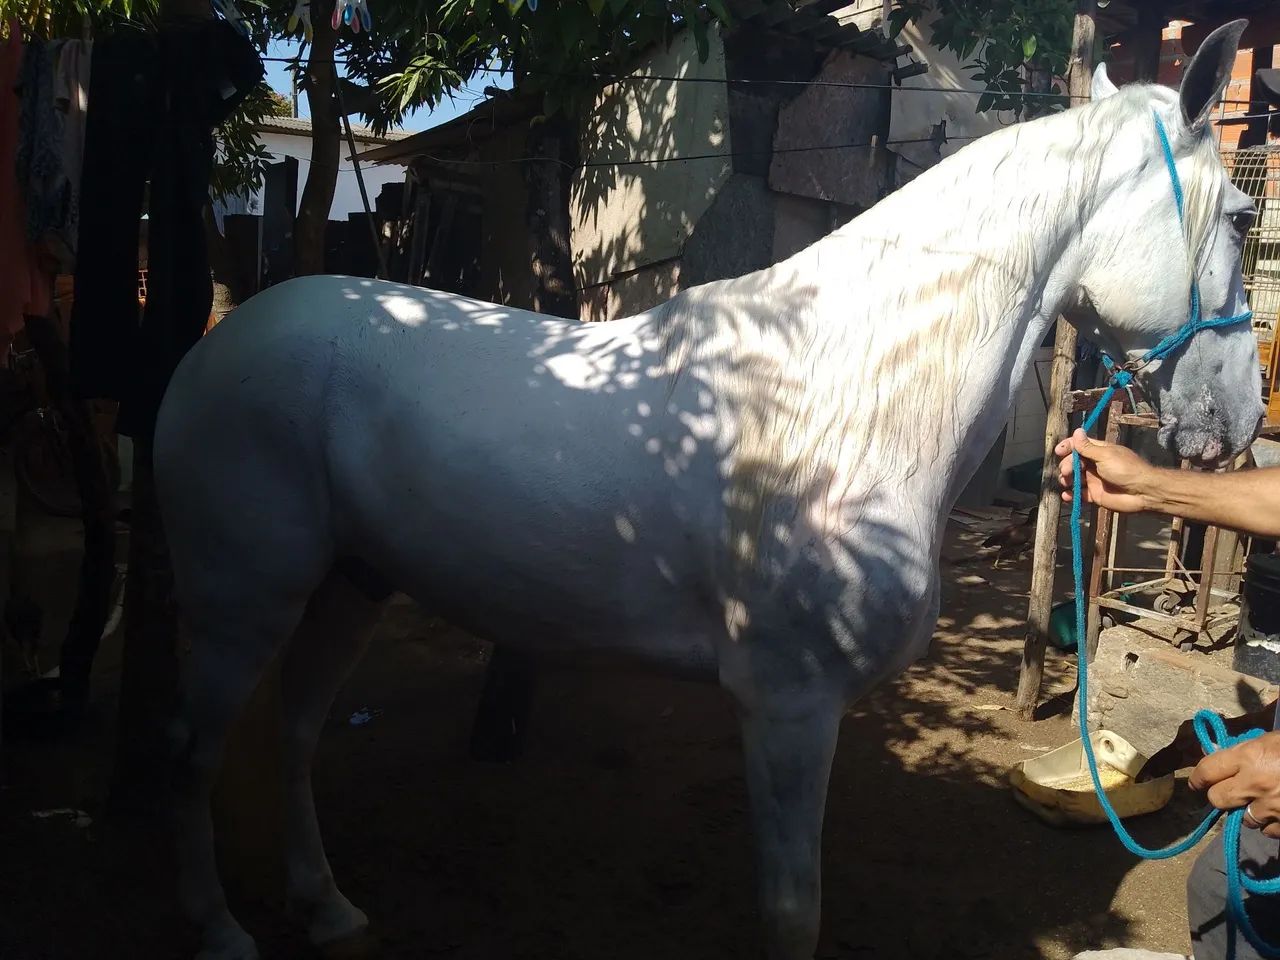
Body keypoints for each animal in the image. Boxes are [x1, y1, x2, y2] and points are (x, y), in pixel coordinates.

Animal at [157, 20, 1262, 960]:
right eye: (1245, 216)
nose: (1244, 418)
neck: (846, 392)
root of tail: (223, 343)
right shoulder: (788, 706)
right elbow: (790, 915)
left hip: (351, 584)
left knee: (295, 730)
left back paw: (327, 907)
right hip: (241, 599)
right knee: (195, 753)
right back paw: (218, 930)